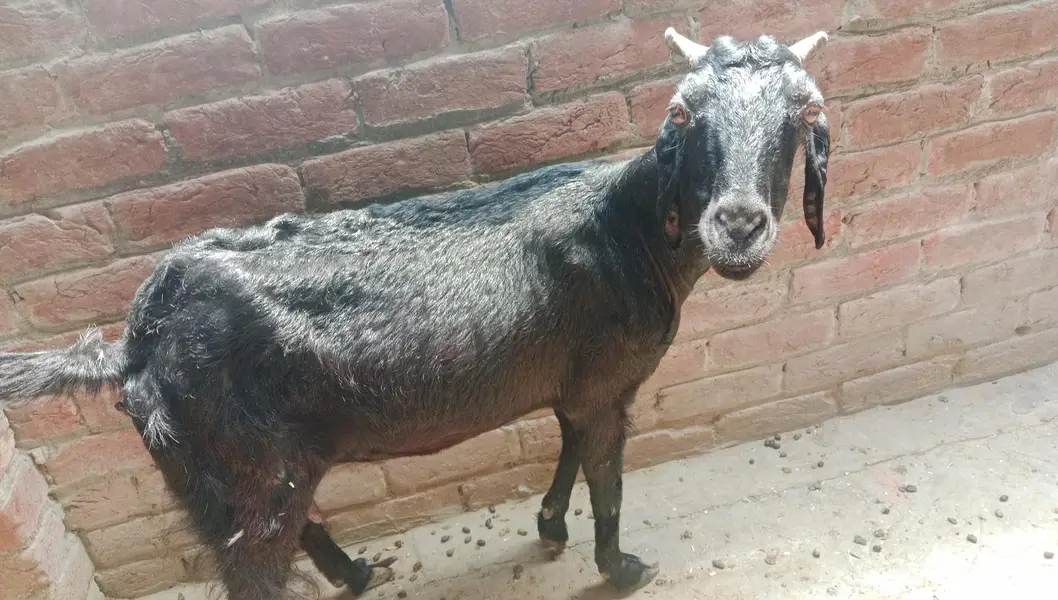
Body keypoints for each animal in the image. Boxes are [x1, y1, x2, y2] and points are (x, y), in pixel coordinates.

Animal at [0, 28, 832, 599]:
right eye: (685, 117)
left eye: (800, 117)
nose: (738, 223)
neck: (627, 232)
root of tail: (136, 343)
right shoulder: (606, 386)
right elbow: (607, 479)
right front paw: (620, 566)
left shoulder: (573, 385)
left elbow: (566, 449)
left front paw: (549, 527)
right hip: (240, 473)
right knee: (255, 566)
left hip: (252, 465)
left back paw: (358, 573)